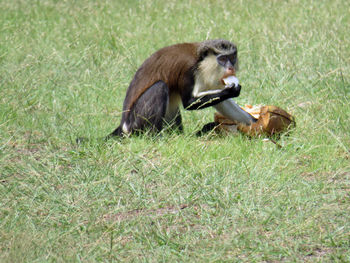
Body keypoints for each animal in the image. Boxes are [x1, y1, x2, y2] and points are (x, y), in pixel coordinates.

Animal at [106, 39, 246, 140]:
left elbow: (222, 102)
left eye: (232, 58)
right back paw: (155, 137)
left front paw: (251, 122)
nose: (231, 68)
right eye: (222, 59)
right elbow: (189, 102)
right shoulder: (188, 68)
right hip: (136, 122)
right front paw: (232, 91)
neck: (200, 60)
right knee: (160, 86)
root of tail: (124, 125)